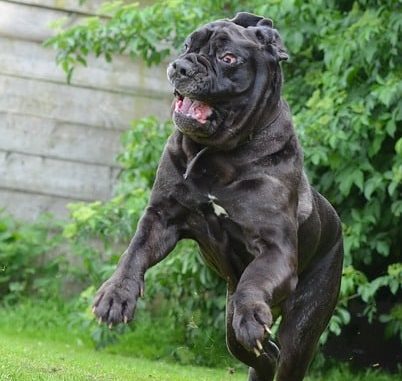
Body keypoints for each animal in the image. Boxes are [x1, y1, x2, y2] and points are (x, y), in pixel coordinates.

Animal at [92, 11, 344, 380]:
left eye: (228, 58)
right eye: (187, 44)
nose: (182, 66)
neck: (216, 153)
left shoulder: (275, 250)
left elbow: (254, 282)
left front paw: (251, 316)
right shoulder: (161, 218)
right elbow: (133, 254)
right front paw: (115, 296)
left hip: (304, 325)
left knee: (283, 353)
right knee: (244, 346)